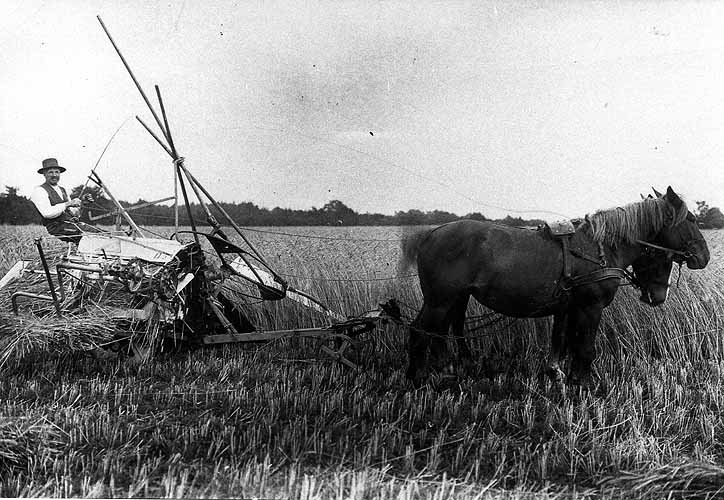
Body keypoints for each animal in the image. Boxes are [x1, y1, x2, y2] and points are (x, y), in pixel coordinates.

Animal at [402, 188, 712, 386]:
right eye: (691, 220)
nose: (704, 257)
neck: (600, 248)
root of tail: (430, 234)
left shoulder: (571, 307)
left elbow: (567, 342)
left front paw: (566, 376)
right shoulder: (590, 307)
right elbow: (585, 347)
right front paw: (584, 385)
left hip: (453, 299)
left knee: (439, 333)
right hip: (439, 301)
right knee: (419, 332)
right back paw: (418, 379)